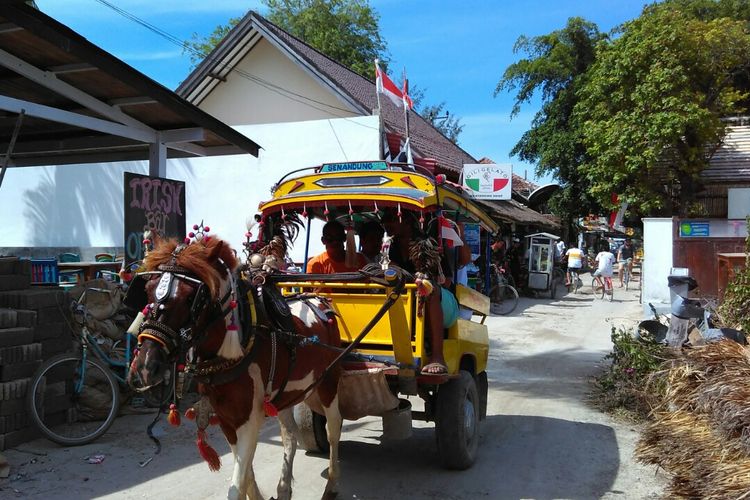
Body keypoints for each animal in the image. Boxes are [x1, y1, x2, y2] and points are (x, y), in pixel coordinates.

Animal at [127, 235, 344, 500]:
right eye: (147, 291)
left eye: (191, 298)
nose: (146, 366)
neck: (236, 345)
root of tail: (319, 299)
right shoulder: (227, 419)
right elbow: (246, 475)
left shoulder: (249, 419)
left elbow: (237, 483)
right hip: (286, 395)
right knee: (290, 436)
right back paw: (284, 487)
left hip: (329, 382)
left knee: (334, 429)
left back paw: (332, 485)